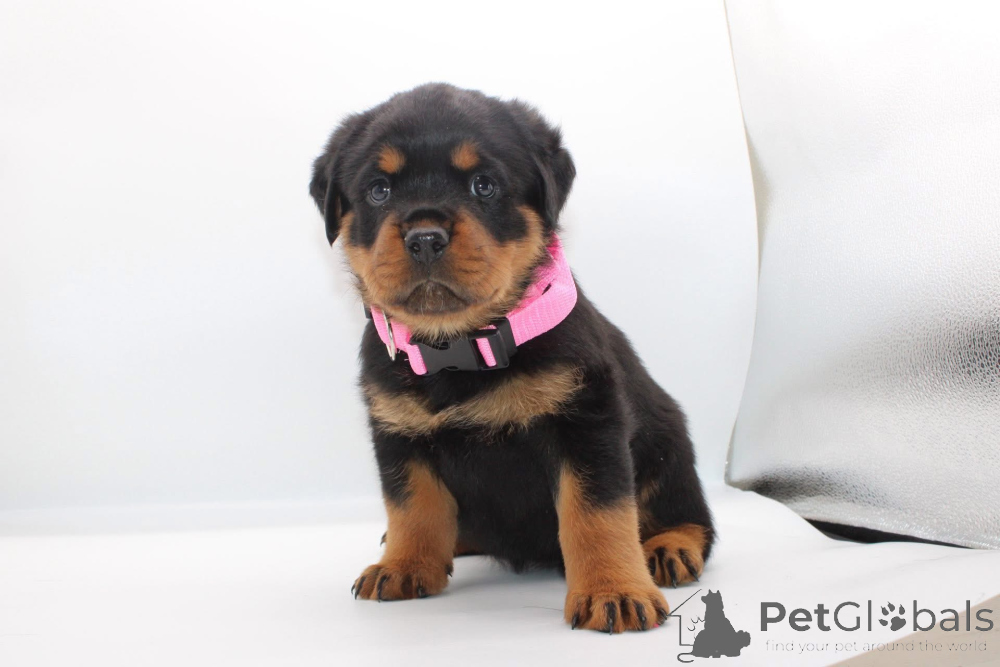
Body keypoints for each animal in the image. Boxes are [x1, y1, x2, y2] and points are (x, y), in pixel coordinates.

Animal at [309, 83, 714, 633]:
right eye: (379, 190)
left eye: (484, 185)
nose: (425, 237)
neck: (457, 349)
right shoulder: (397, 433)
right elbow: (413, 506)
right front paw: (406, 563)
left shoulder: (588, 425)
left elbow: (598, 516)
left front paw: (613, 591)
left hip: (669, 445)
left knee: (691, 517)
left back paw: (669, 548)